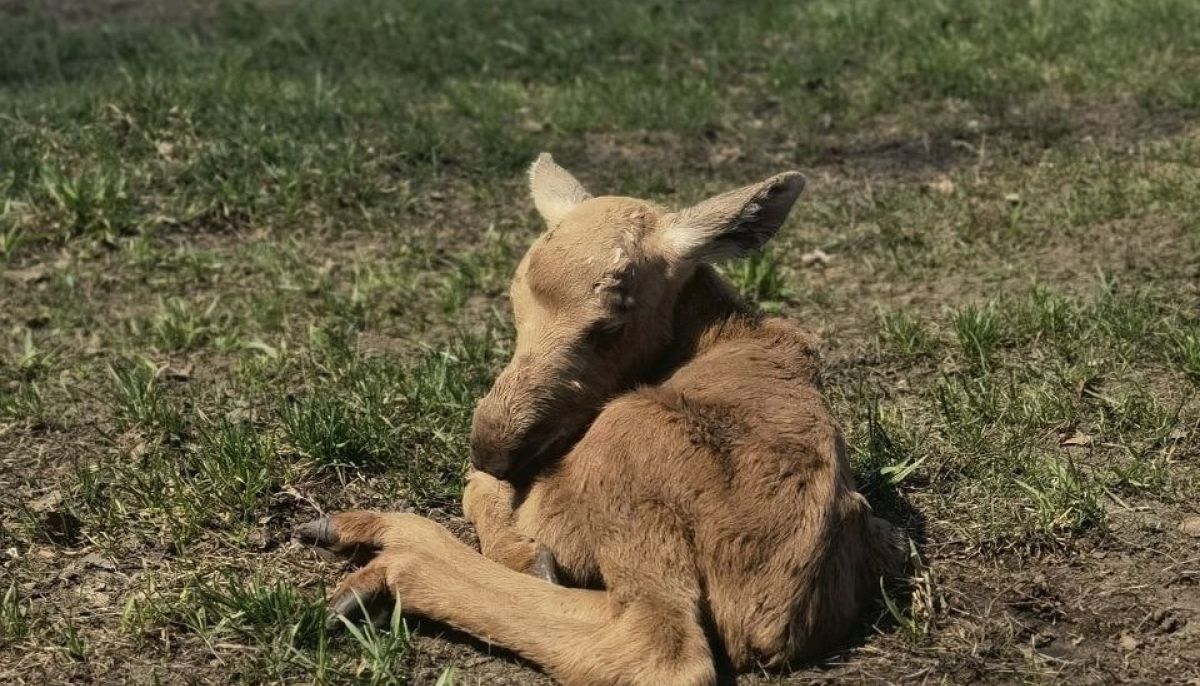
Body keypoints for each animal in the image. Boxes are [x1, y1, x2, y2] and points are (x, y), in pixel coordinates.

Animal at [295, 155, 902, 686]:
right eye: (514, 304)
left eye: (610, 322)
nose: (493, 447)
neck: (710, 330)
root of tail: (769, 617)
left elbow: (480, 492)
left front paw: (523, 549)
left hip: (624, 457)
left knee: (657, 648)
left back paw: (383, 549)